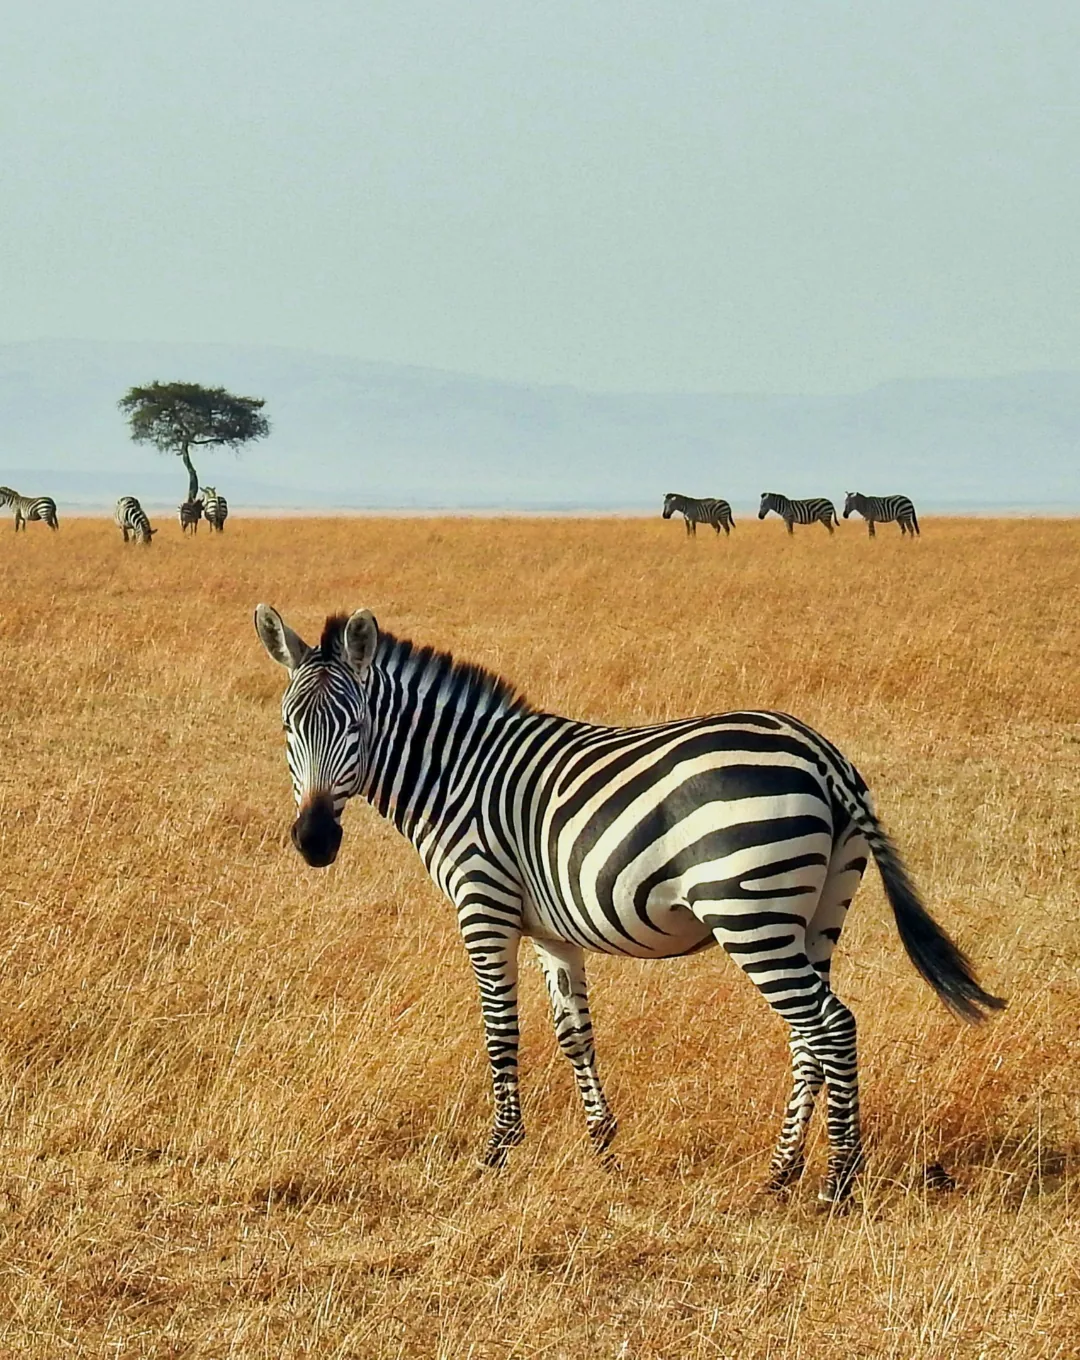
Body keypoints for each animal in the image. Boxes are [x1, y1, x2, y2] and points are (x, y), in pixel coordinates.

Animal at [254, 605, 1003, 1205]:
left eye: (354, 725)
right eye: (289, 727)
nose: (315, 841)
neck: (459, 773)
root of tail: (821, 754)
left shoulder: (484, 905)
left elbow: (501, 1032)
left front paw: (498, 1151)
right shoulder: (553, 930)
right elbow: (574, 1033)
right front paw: (603, 1145)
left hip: (749, 910)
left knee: (834, 1026)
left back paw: (835, 1183)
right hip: (817, 914)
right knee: (809, 1035)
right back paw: (781, 1173)